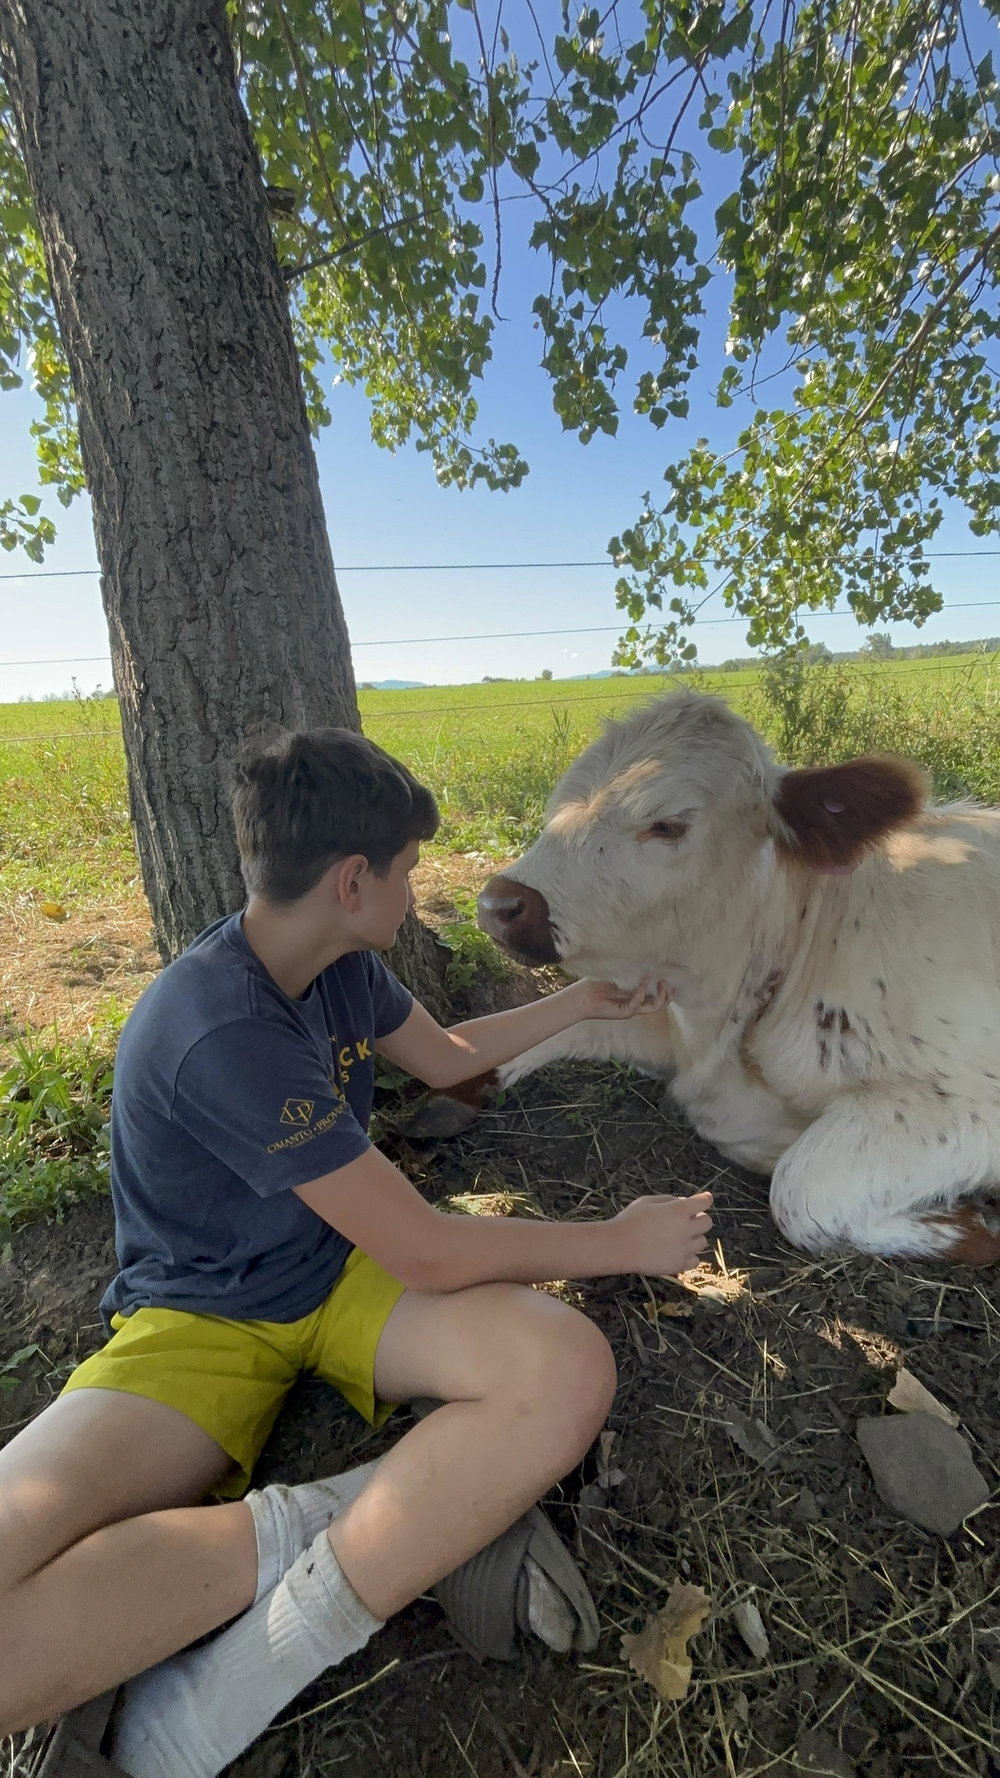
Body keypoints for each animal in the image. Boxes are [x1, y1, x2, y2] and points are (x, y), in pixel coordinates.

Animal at [464, 690, 1000, 1266]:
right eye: (557, 806)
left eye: (667, 825)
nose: (498, 905)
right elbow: (552, 1026)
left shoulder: (960, 1105)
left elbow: (799, 1193)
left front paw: (974, 1225)